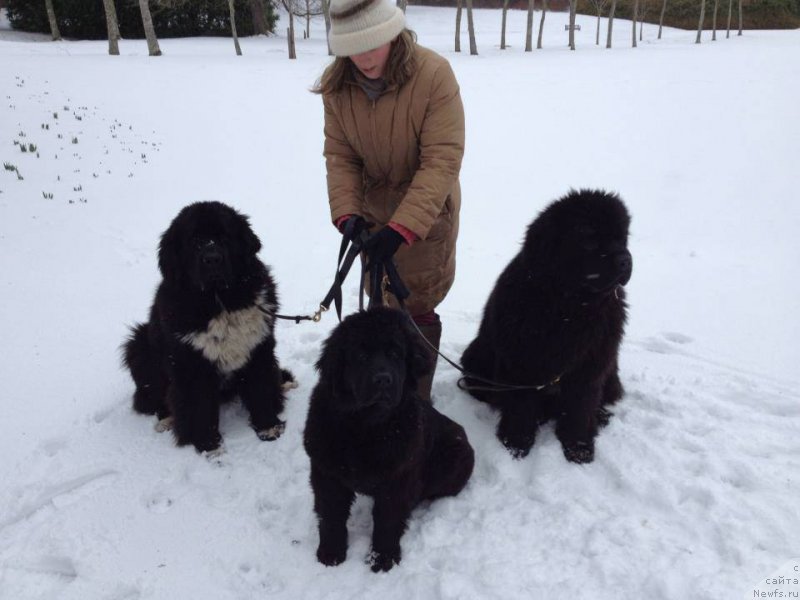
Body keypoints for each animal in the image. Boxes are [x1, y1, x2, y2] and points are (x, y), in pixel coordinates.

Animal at [123, 199, 298, 452]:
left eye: (224, 237)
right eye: (194, 242)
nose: (212, 259)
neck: (220, 302)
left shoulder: (259, 349)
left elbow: (261, 388)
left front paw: (268, 427)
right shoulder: (190, 365)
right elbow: (197, 407)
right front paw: (208, 445)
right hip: (138, 344)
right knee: (153, 397)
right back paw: (166, 419)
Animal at [304, 308, 472, 576]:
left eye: (395, 354)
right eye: (361, 355)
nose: (383, 380)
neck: (365, 426)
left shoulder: (399, 478)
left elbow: (388, 519)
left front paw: (383, 558)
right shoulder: (326, 473)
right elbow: (331, 513)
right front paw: (330, 552)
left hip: (454, 455)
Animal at [460, 190, 636, 462]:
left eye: (622, 238)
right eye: (589, 239)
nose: (625, 260)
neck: (570, 308)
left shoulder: (591, 364)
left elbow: (580, 406)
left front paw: (579, 447)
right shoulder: (521, 363)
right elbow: (521, 405)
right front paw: (515, 443)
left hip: (611, 372)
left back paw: (601, 416)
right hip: (475, 358)